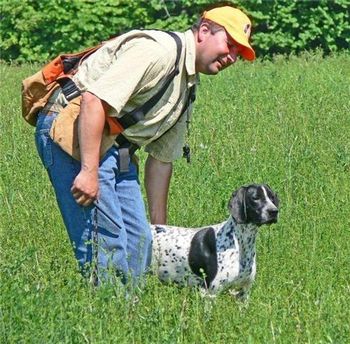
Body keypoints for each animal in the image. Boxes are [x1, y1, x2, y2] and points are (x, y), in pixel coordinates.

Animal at [150, 184, 278, 300]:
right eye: (255, 198)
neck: (240, 243)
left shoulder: (243, 294)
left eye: (272, 198)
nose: (274, 211)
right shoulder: (211, 294)